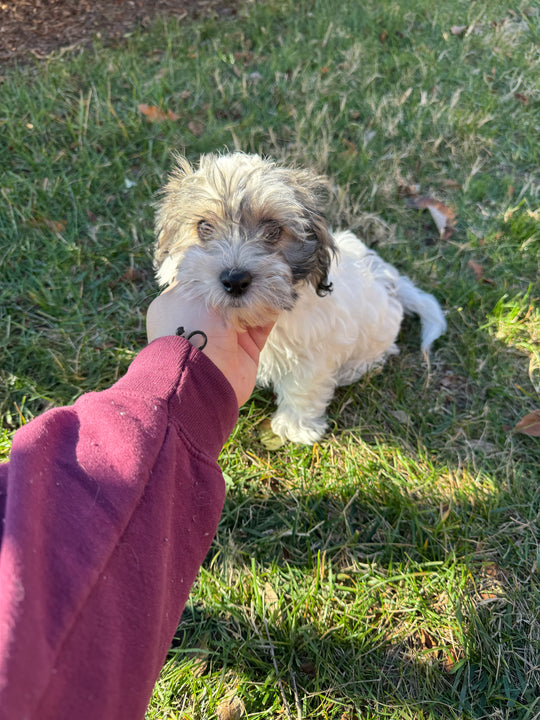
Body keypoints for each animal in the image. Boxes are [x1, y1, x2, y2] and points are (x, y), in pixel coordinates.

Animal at [153, 153, 448, 444]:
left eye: (273, 230)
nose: (235, 279)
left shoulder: (312, 356)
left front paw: (295, 428)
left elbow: (302, 387)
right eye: (204, 227)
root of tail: (389, 279)